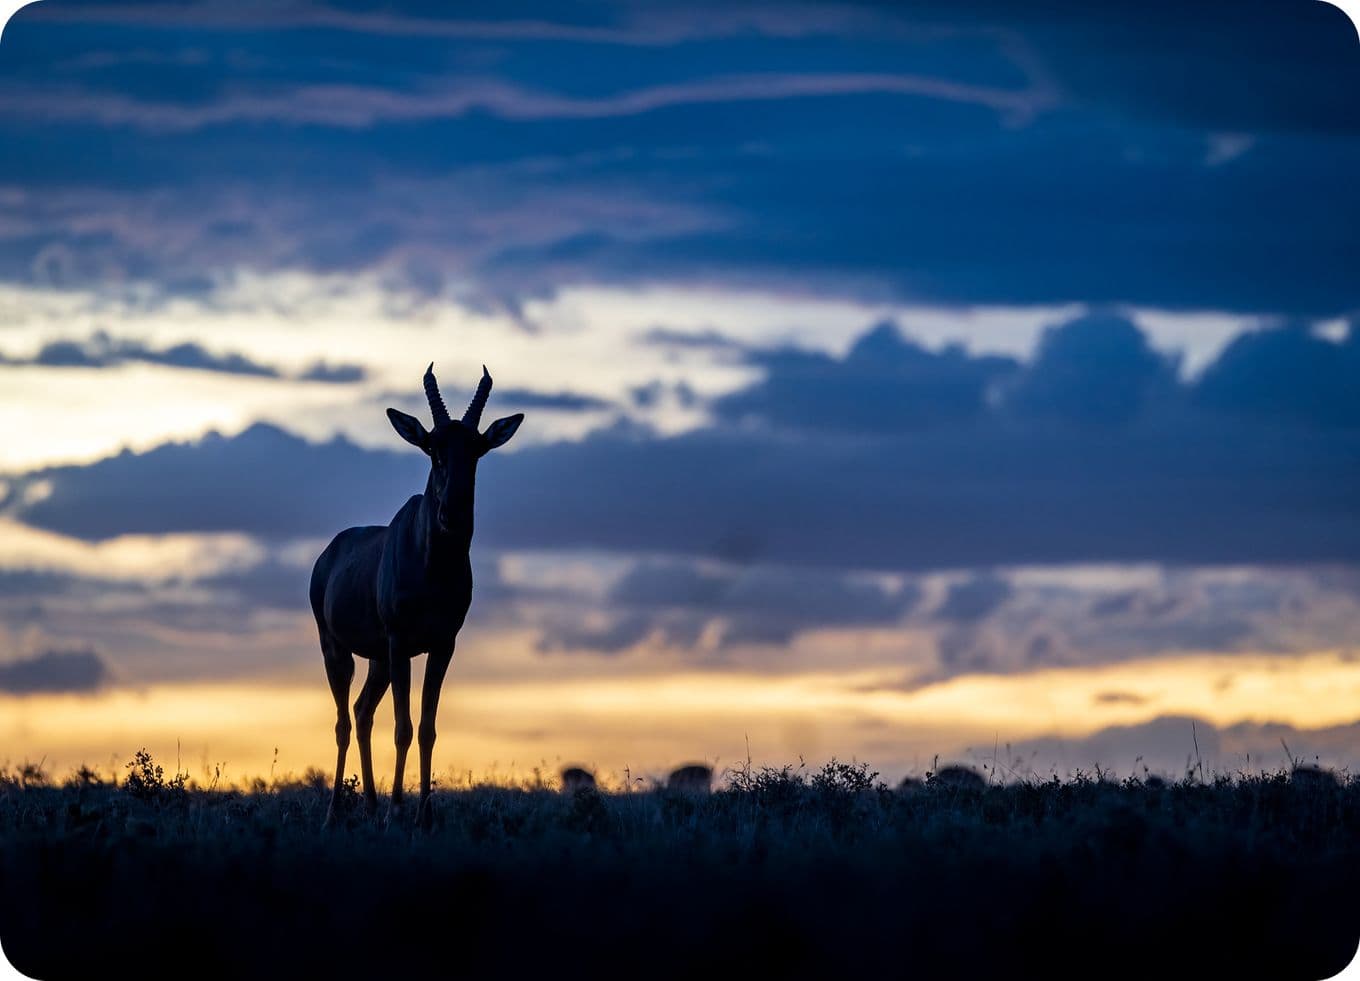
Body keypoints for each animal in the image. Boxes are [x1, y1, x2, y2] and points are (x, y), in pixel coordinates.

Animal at [309, 363, 523, 827]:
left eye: (477, 449)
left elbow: (426, 727)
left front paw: (424, 816)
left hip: (379, 660)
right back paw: (335, 813)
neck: (431, 567)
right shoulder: (400, 641)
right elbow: (403, 726)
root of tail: (328, 556)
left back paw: (370, 806)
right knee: (343, 721)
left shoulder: (442, 645)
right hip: (337, 648)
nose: (452, 514)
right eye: (432, 448)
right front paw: (397, 812)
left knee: (362, 711)